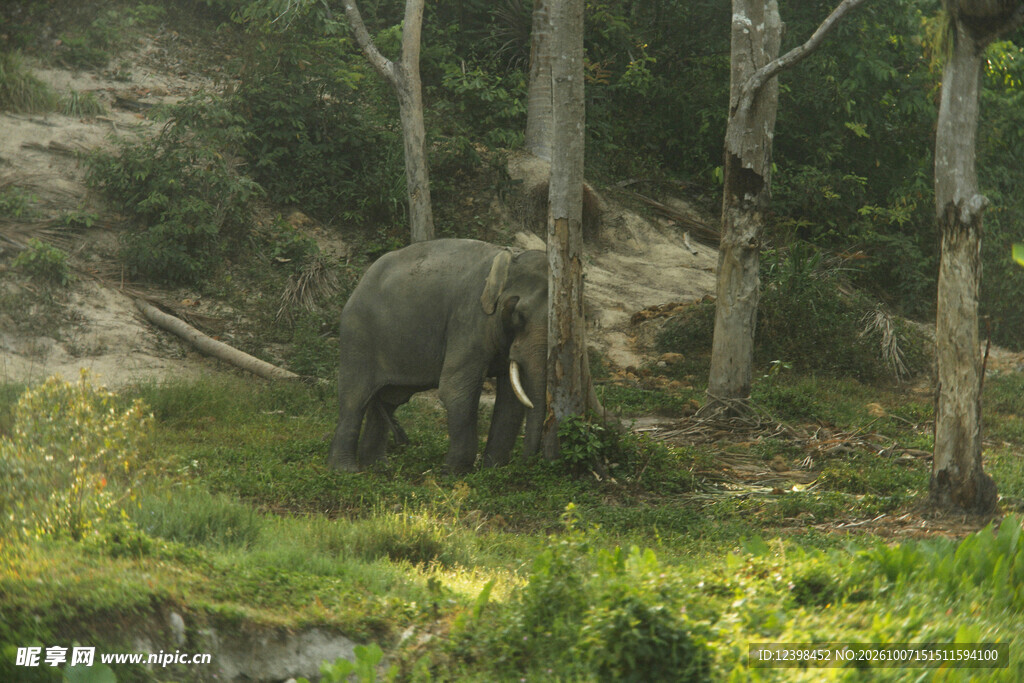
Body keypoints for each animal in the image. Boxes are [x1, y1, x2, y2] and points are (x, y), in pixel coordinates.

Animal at [328, 238, 549, 474]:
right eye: (520, 314)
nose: (528, 462)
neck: (510, 259)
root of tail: (358, 285)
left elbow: (511, 399)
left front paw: (492, 471)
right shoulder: (468, 318)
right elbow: (456, 389)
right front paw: (453, 473)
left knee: (388, 400)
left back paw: (378, 468)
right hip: (357, 335)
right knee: (355, 398)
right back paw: (345, 470)